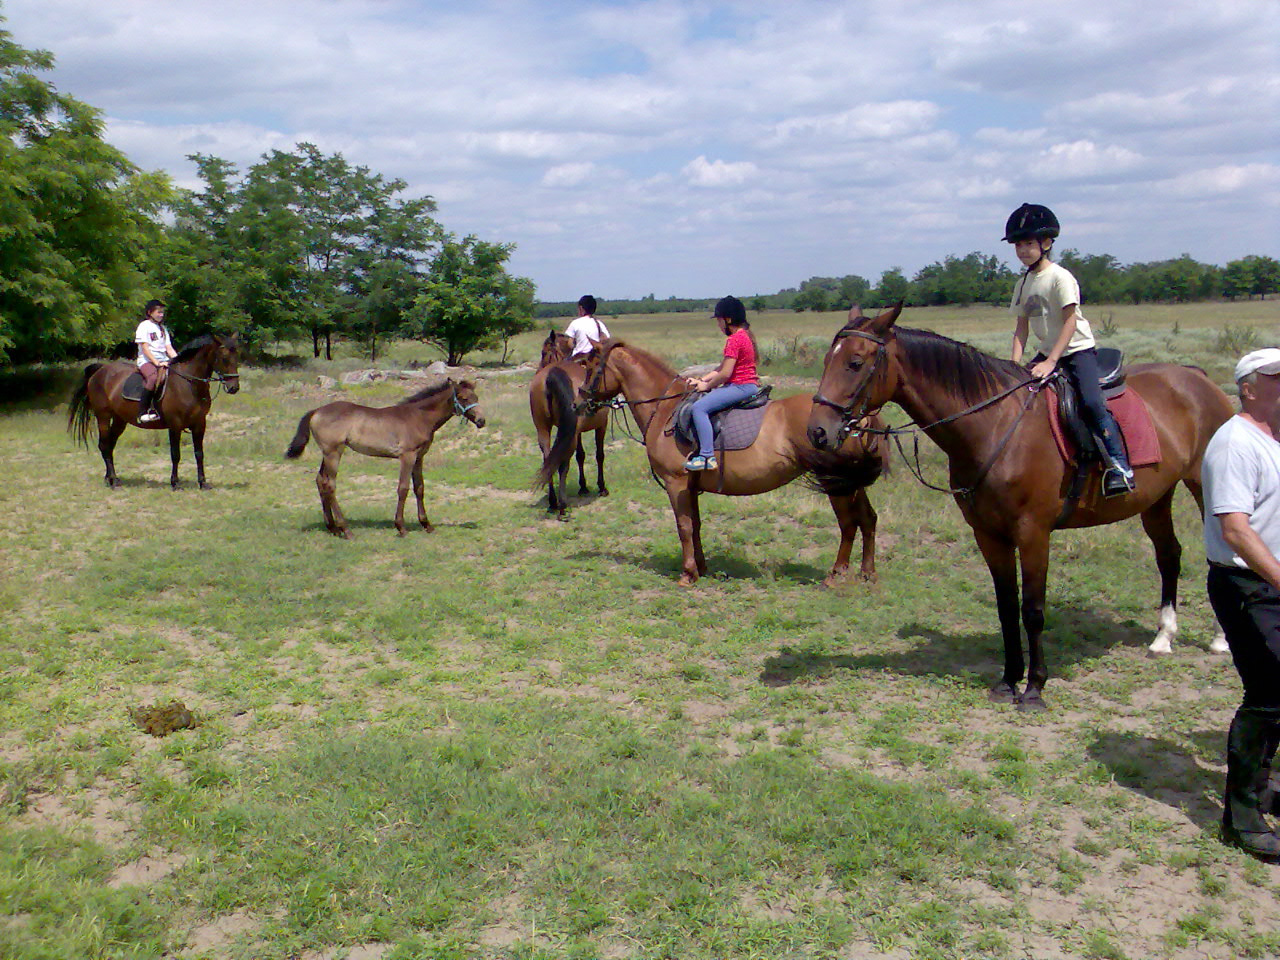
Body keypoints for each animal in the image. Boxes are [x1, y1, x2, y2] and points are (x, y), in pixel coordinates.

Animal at [66, 335, 240, 488]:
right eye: (224, 358)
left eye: (237, 357)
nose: (234, 388)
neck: (189, 384)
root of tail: (101, 369)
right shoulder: (175, 424)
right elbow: (175, 454)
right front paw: (175, 483)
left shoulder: (199, 424)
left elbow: (199, 453)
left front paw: (203, 483)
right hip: (103, 416)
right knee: (104, 445)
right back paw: (113, 480)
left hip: (120, 420)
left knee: (109, 445)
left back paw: (110, 479)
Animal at [285, 378, 483, 542]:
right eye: (463, 398)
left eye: (476, 396)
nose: (482, 421)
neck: (419, 417)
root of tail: (316, 411)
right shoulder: (407, 456)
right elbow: (403, 488)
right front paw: (401, 527)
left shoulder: (419, 457)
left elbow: (419, 488)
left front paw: (427, 525)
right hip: (333, 453)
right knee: (330, 485)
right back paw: (346, 530)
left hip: (327, 454)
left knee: (320, 481)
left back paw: (332, 528)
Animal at [529, 330, 609, 519]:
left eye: (543, 353)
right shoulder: (602, 424)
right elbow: (599, 455)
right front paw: (601, 487)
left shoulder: (574, 431)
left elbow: (581, 455)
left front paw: (583, 487)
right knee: (563, 464)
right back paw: (562, 506)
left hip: (544, 429)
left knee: (548, 459)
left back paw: (552, 502)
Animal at [570, 343, 890, 591]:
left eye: (591, 367)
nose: (577, 402)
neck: (666, 410)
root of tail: (856, 418)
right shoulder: (691, 486)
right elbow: (696, 524)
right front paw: (700, 568)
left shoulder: (676, 483)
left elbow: (683, 526)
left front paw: (687, 574)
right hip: (851, 483)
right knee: (868, 519)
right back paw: (868, 574)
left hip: (835, 482)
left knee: (848, 524)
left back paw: (835, 576)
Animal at [803, 304, 1233, 711]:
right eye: (826, 360)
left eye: (855, 362)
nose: (817, 432)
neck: (995, 426)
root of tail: (1197, 377)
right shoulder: (988, 534)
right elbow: (1007, 607)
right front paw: (1008, 680)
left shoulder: (1033, 534)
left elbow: (1033, 610)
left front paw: (1035, 688)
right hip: (1157, 497)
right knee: (1168, 555)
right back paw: (1163, 637)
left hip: (1204, 489)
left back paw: (1220, 639)